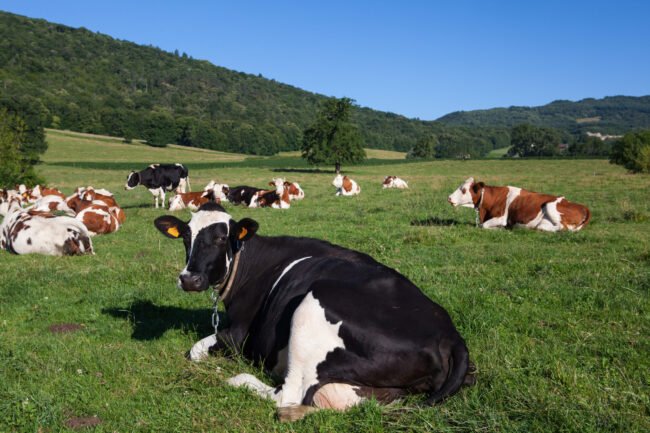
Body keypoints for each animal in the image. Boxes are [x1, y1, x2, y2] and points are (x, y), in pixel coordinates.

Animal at [153, 203, 474, 421]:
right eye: (186, 237)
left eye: (222, 238)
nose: (189, 279)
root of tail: (450, 335)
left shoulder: (239, 335)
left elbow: (195, 350)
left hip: (313, 304)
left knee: (287, 394)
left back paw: (237, 379)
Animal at [448, 177, 591, 232]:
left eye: (463, 190)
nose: (449, 198)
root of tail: (582, 206)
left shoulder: (501, 218)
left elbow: (485, 225)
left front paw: (499, 229)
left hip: (550, 205)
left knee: (563, 228)